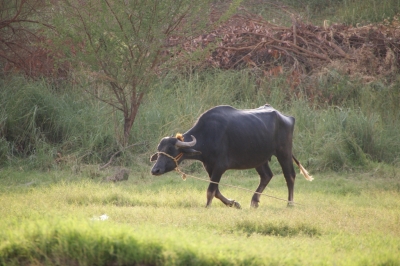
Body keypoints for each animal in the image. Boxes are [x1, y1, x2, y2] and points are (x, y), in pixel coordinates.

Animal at [150, 105, 312, 209]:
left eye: (171, 150)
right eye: (159, 151)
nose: (155, 170)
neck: (208, 135)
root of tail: (287, 118)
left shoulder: (220, 166)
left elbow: (211, 190)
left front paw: (207, 206)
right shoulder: (209, 166)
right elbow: (216, 190)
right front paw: (234, 203)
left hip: (284, 152)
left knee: (289, 176)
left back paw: (290, 203)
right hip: (259, 158)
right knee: (267, 176)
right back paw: (254, 201)